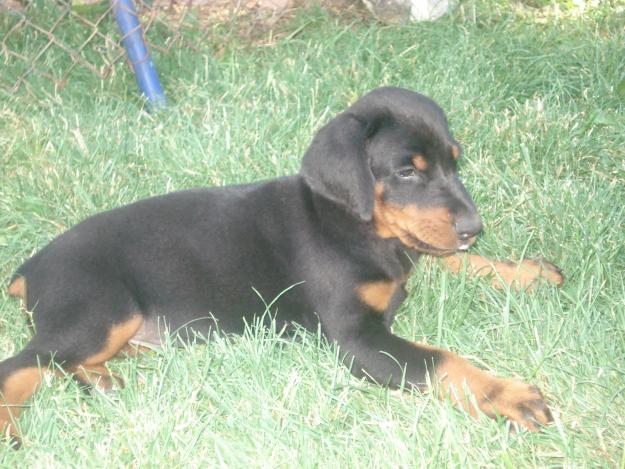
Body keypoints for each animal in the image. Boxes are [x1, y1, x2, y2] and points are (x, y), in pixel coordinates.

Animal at [2, 87, 564, 442]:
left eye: (455, 160)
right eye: (407, 171)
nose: (473, 227)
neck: (355, 226)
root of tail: (29, 267)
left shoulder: (409, 253)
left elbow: (450, 261)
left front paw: (529, 272)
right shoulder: (359, 339)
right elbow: (441, 361)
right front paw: (510, 394)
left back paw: (103, 381)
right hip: (101, 312)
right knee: (23, 364)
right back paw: (15, 431)